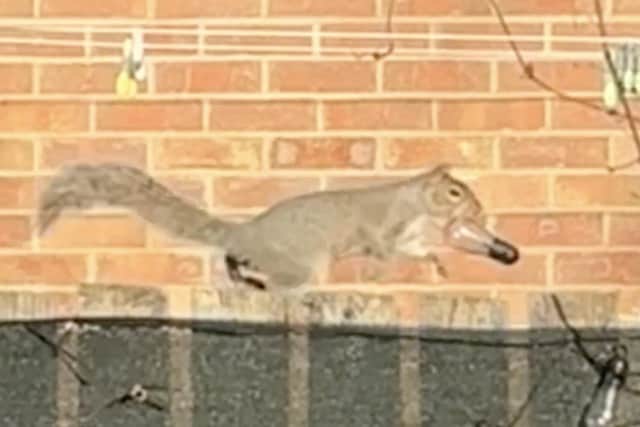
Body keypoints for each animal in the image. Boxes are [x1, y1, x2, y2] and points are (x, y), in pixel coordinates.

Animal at [37, 163, 519, 291]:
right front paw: (385, 271)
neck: (417, 205)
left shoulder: (413, 235)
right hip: (299, 265)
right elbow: (384, 251)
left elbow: (420, 251)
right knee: (279, 279)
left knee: (237, 260)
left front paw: (437, 263)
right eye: (454, 193)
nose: (479, 208)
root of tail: (246, 232)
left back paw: (240, 273)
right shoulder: (384, 227)